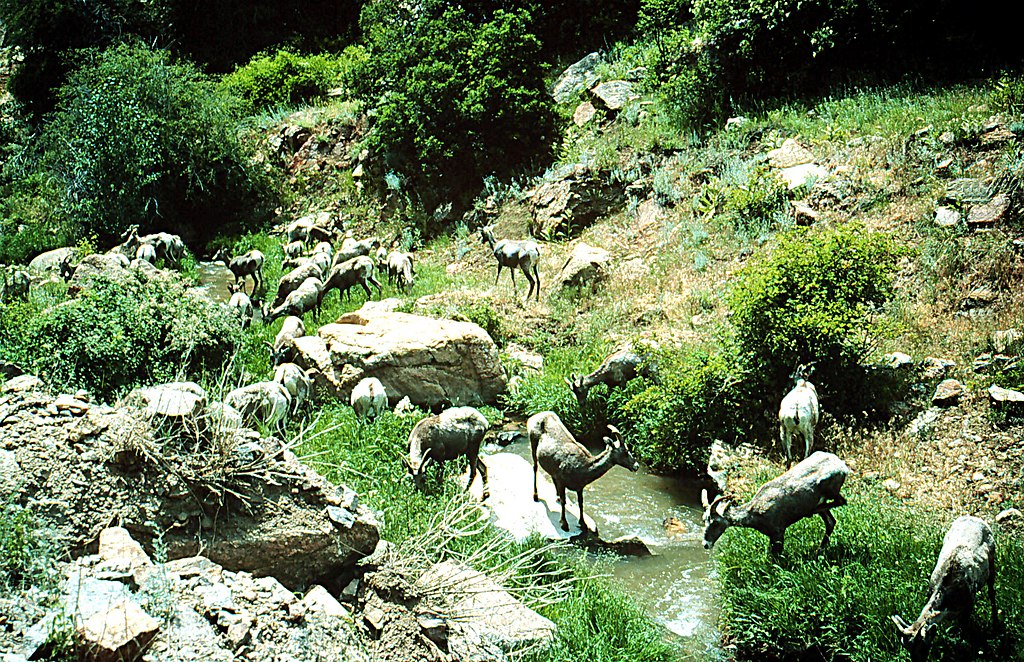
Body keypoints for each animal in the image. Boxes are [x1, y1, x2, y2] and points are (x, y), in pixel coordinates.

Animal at [701, 451, 849, 555]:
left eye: (715, 522)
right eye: (704, 519)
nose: (705, 544)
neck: (754, 515)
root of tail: (843, 466)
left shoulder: (778, 531)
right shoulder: (772, 536)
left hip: (831, 490)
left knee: (842, 502)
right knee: (831, 521)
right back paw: (819, 550)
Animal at [892, 515, 997, 662]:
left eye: (922, 646)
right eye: (906, 647)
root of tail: (974, 518)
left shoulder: (969, 604)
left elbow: (963, 636)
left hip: (992, 558)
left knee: (992, 591)